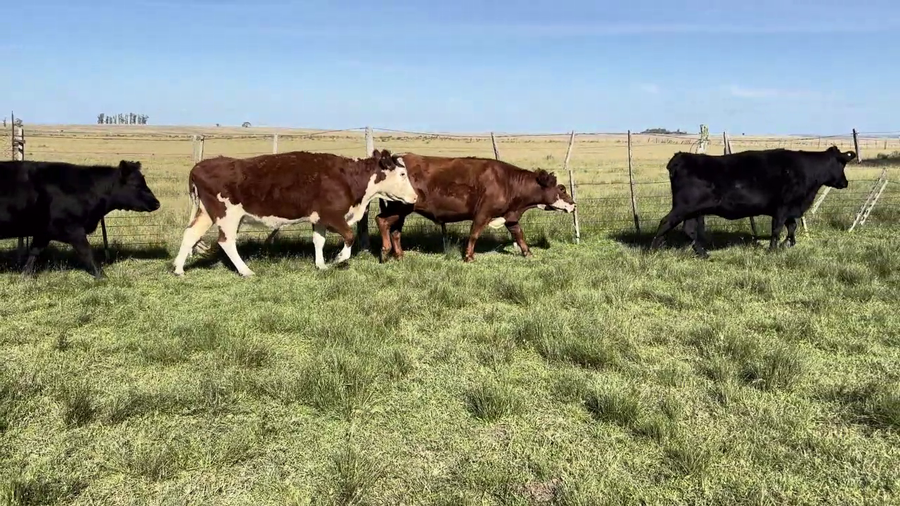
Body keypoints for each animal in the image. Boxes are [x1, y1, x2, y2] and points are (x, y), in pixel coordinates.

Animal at [0, 159, 160, 278]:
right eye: (136, 185)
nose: (157, 203)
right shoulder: (73, 229)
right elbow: (87, 252)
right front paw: (102, 276)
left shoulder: (44, 231)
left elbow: (34, 252)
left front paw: (25, 275)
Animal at [172, 149, 417, 277]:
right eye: (403, 174)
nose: (415, 197)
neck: (347, 178)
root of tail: (199, 166)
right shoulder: (332, 215)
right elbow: (349, 236)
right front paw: (339, 258)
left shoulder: (318, 218)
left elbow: (318, 241)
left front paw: (321, 264)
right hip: (227, 216)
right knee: (226, 242)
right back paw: (245, 270)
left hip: (207, 213)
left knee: (190, 234)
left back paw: (178, 269)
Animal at [374, 154, 576, 263]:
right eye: (562, 189)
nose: (574, 204)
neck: (507, 182)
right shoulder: (483, 214)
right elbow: (474, 234)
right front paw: (469, 256)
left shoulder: (510, 216)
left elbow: (519, 235)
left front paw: (528, 253)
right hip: (400, 208)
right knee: (381, 220)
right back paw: (384, 250)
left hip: (401, 212)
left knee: (395, 232)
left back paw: (399, 255)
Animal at [650, 146, 854, 257]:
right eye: (841, 164)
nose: (845, 182)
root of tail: (681, 156)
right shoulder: (782, 207)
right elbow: (777, 229)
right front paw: (773, 249)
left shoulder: (790, 209)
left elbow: (792, 227)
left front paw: (787, 244)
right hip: (683, 206)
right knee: (665, 222)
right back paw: (654, 249)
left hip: (693, 211)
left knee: (690, 230)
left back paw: (703, 254)